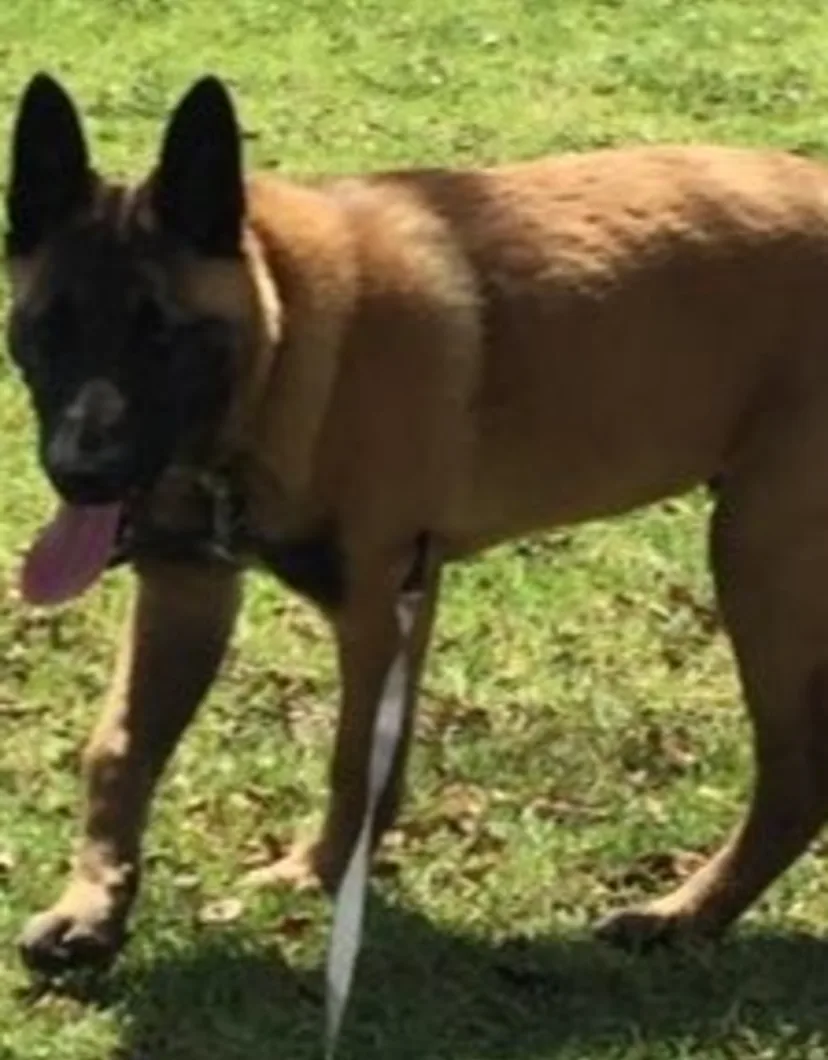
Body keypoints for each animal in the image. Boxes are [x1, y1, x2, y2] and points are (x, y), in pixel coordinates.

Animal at [6, 70, 826, 970]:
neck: (285, 342)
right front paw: (92, 904)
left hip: (759, 560)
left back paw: (686, 914)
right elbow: (117, 752)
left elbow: (355, 764)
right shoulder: (185, 593)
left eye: (162, 334)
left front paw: (318, 876)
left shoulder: (382, 607)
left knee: (795, 777)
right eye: (48, 330)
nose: (81, 474)